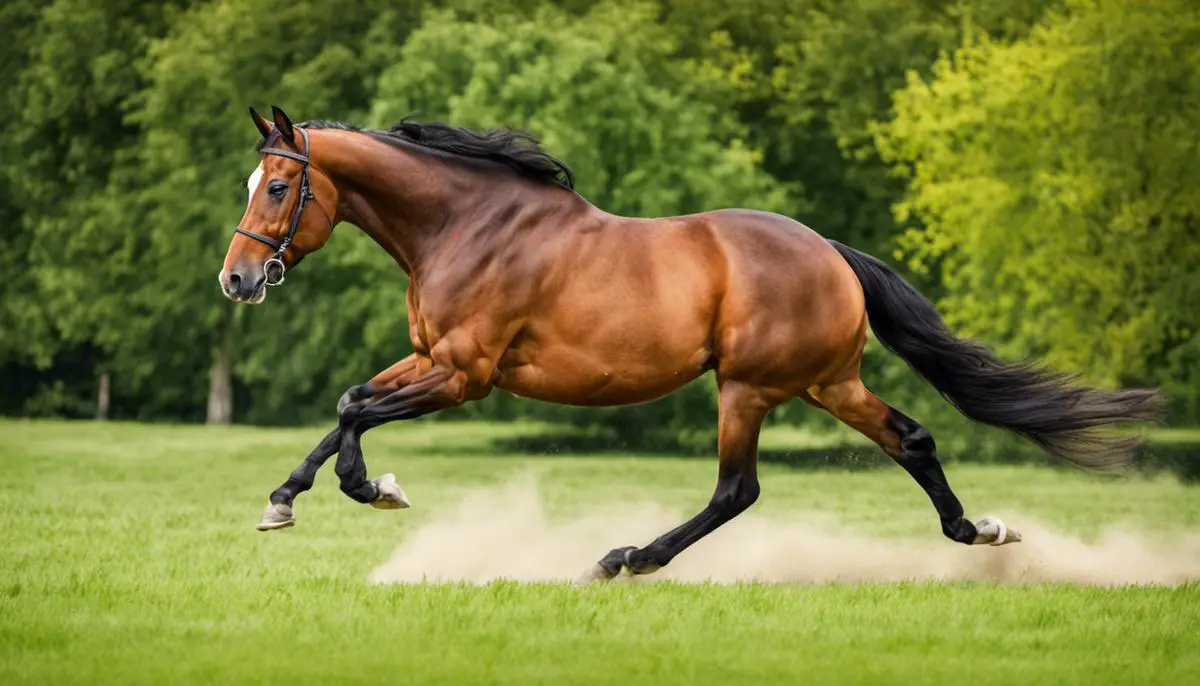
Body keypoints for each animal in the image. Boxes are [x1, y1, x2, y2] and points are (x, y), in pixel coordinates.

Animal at [220, 104, 1156, 580]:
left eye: (278, 187)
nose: (236, 280)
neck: (466, 224)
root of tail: (831, 253)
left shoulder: (463, 374)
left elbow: (353, 410)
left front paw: (369, 489)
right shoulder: (431, 359)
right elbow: (346, 406)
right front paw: (287, 500)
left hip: (747, 389)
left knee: (736, 491)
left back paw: (624, 558)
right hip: (829, 384)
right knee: (913, 439)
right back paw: (980, 533)